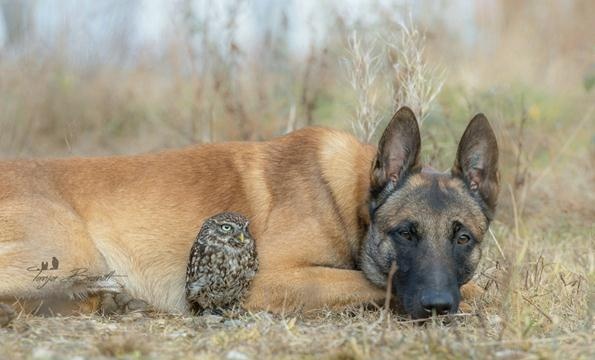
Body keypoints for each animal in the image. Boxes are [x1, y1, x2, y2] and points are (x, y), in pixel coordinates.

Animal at [0, 106, 496, 318]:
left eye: (463, 238)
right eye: (405, 233)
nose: (437, 306)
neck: (348, 196)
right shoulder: (267, 281)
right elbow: (373, 282)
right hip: (76, 253)